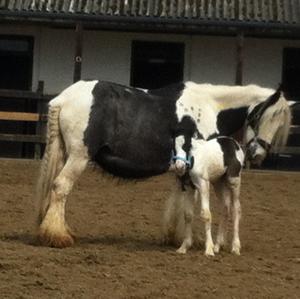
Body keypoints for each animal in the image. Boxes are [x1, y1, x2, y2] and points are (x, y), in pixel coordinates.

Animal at [36, 81, 292, 250]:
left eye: (279, 123)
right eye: (261, 117)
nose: (257, 154)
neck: (211, 107)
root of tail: (63, 98)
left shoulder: (185, 170)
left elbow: (181, 203)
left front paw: (176, 237)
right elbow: (193, 206)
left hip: (66, 154)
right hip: (79, 157)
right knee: (61, 187)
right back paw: (58, 236)